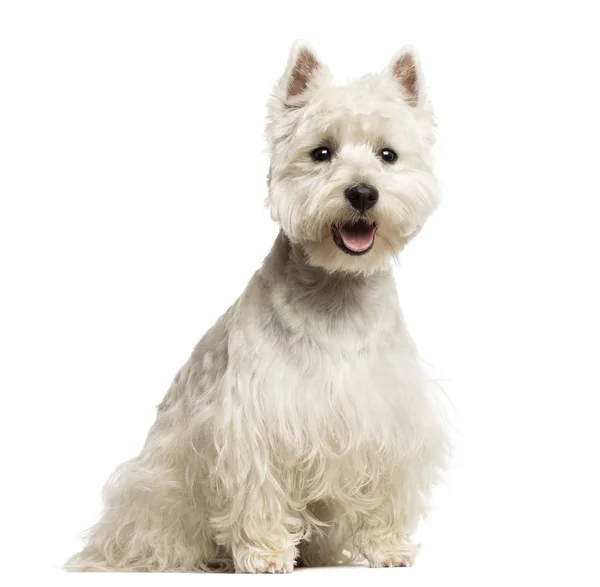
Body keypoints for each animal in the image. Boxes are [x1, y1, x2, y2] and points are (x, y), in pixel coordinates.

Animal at [67, 41, 450, 576]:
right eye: (321, 152)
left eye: (388, 155)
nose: (362, 193)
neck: (337, 290)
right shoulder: (254, 422)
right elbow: (259, 494)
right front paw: (266, 554)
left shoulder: (390, 416)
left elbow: (385, 488)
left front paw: (387, 547)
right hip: (156, 490)